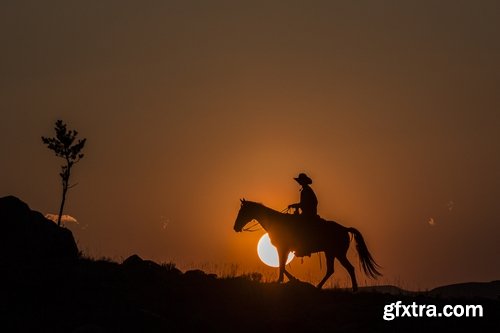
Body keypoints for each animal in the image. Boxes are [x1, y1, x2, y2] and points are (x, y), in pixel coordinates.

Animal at [232, 198, 380, 290]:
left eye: (242, 211)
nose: (235, 227)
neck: (276, 222)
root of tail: (344, 229)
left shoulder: (282, 248)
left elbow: (281, 266)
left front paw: (284, 280)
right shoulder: (284, 249)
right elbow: (282, 265)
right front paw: (289, 279)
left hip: (337, 253)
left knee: (348, 268)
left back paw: (351, 289)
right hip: (330, 253)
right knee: (332, 270)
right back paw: (320, 287)